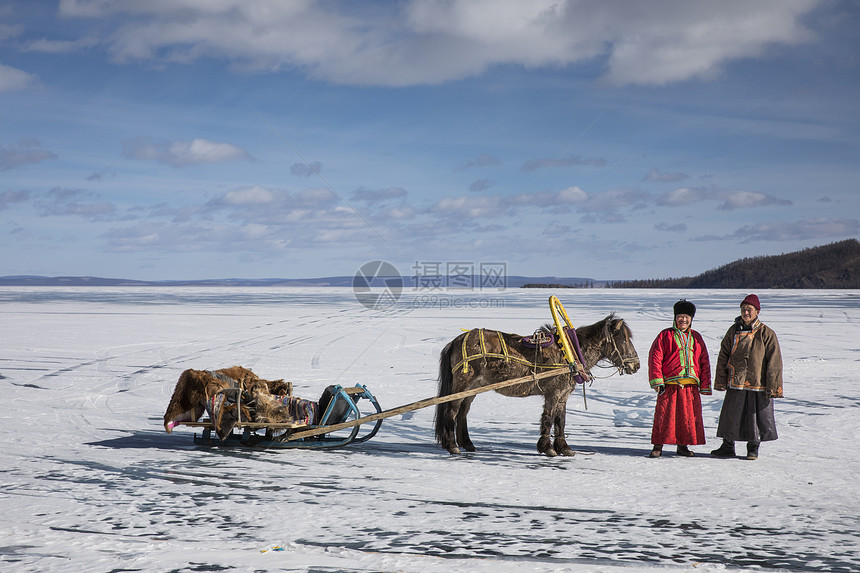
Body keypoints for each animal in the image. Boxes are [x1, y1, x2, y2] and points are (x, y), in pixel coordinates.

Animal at [436, 312, 640, 456]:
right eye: (623, 339)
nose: (636, 365)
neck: (570, 352)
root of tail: (457, 340)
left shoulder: (563, 395)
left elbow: (560, 420)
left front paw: (564, 447)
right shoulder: (553, 393)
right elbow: (548, 418)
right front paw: (547, 448)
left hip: (473, 387)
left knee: (463, 412)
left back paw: (468, 443)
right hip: (463, 383)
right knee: (452, 411)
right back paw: (452, 445)